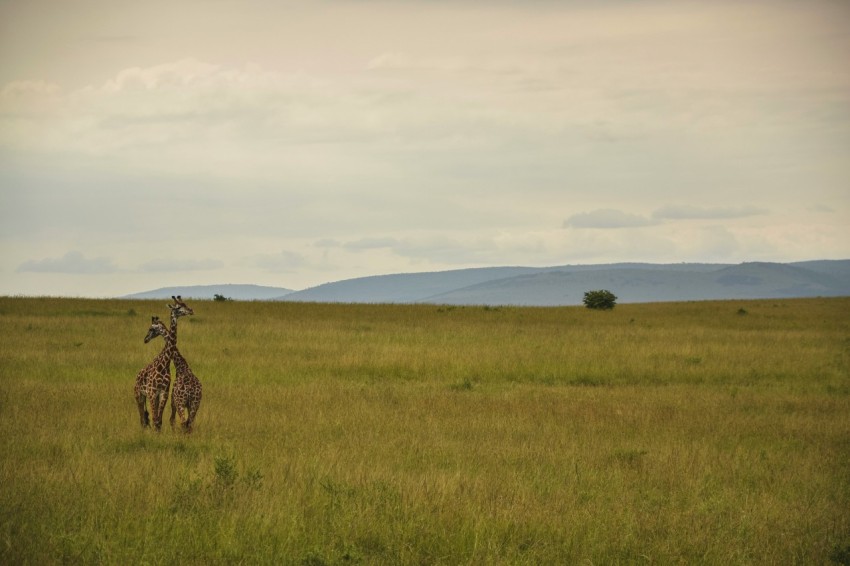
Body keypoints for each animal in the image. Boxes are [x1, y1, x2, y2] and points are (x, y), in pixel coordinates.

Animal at [166, 296, 203, 433]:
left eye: (185, 305)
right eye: (178, 307)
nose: (191, 310)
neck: (181, 366)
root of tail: (190, 390)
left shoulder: (173, 401)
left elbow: (172, 420)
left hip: (181, 403)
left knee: (182, 422)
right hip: (194, 404)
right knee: (189, 424)